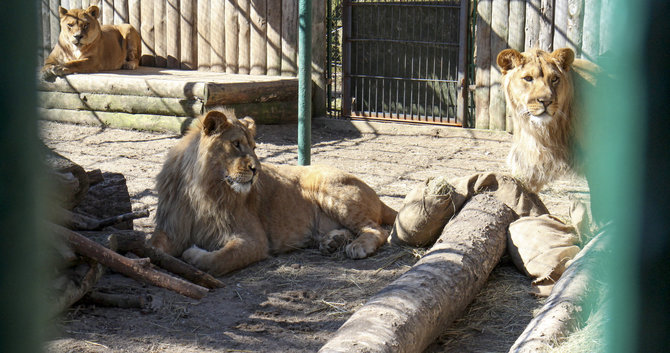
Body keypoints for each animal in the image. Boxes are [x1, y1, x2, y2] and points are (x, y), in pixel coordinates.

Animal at [152, 110, 400, 276]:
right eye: (236, 144)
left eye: (254, 147)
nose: (256, 170)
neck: (203, 189)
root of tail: (375, 194)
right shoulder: (173, 227)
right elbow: (154, 247)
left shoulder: (254, 239)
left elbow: (217, 261)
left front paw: (193, 254)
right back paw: (332, 241)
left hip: (327, 187)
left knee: (377, 229)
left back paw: (358, 246)